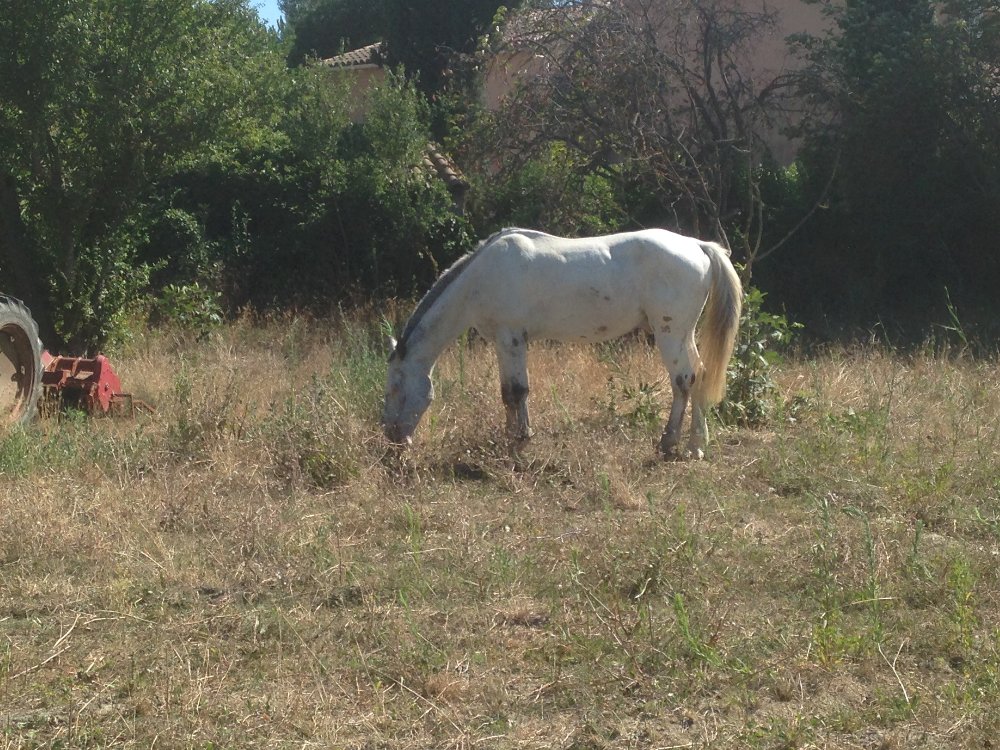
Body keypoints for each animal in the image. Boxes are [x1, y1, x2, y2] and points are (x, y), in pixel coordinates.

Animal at [382, 226, 744, 458]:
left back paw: (670, 443)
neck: (480, 279)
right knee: (700, 374)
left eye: (395, 387)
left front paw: (519, 442)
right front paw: (511, 437)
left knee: (683, 380)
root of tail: (697, 245)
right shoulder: (503, 341)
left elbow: (516, 392)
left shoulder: (512, 338)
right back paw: (696, 445)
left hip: (670, 333)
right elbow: (507, 393)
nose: (392, 438)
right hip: (683, 334)